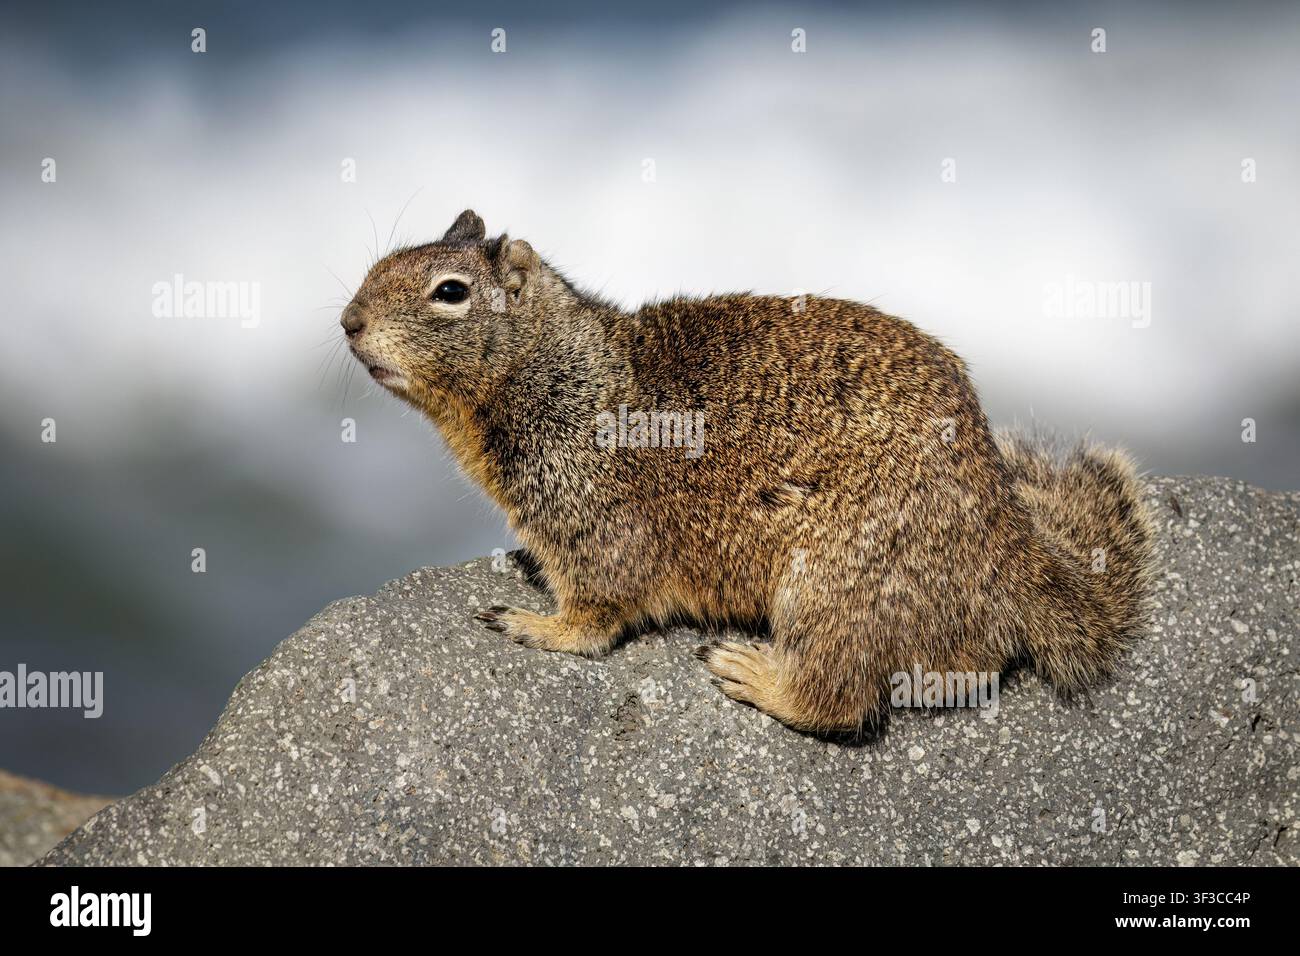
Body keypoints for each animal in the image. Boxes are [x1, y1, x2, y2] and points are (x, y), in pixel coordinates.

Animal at [341, 209, 1155, 734]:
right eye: (376, 266)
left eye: (450, 291)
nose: (348, 321)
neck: (560, 369)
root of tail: (1012, 554)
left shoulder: (589, 509)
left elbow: (597, 615)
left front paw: (531, 623)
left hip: (834, 582)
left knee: (841, 698)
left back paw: (752, 672)